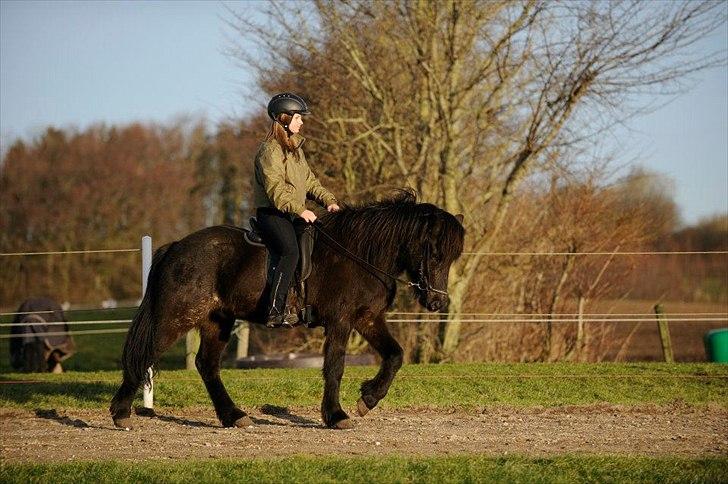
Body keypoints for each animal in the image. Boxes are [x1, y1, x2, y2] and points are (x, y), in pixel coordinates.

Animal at [111, 191, 464, 430]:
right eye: (434, 253)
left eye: (452, 257)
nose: (437, 303)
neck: (360, 255)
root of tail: (176, 247)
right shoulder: (341, 321)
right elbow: (334, 367)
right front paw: (336, 415)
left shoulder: (367, 319)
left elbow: (395, 356)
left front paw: (367, 399)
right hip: (176, 317)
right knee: (145, 354)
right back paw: (121, 413)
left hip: (217, 321)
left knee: (206, 365)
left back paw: (233, 416)